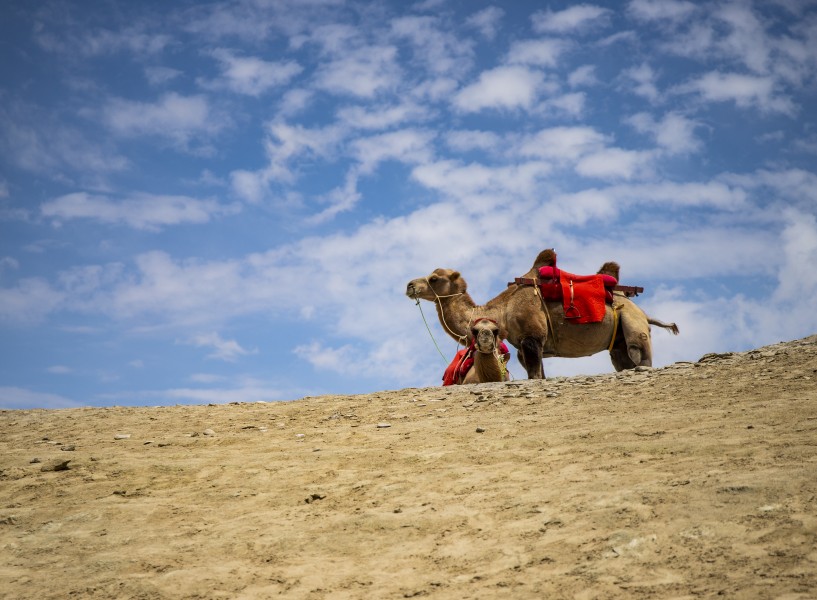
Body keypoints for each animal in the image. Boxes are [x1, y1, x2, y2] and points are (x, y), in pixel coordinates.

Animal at [404, 253, 680, 380]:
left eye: (434, 278)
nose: (409, 285)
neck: (502, 311)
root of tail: (644, 313)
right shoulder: (523, 347)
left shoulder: (531, 338)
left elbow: (535, 376)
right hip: (618, 341)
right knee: (623, 361)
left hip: (634, 327)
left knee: (641, 357)